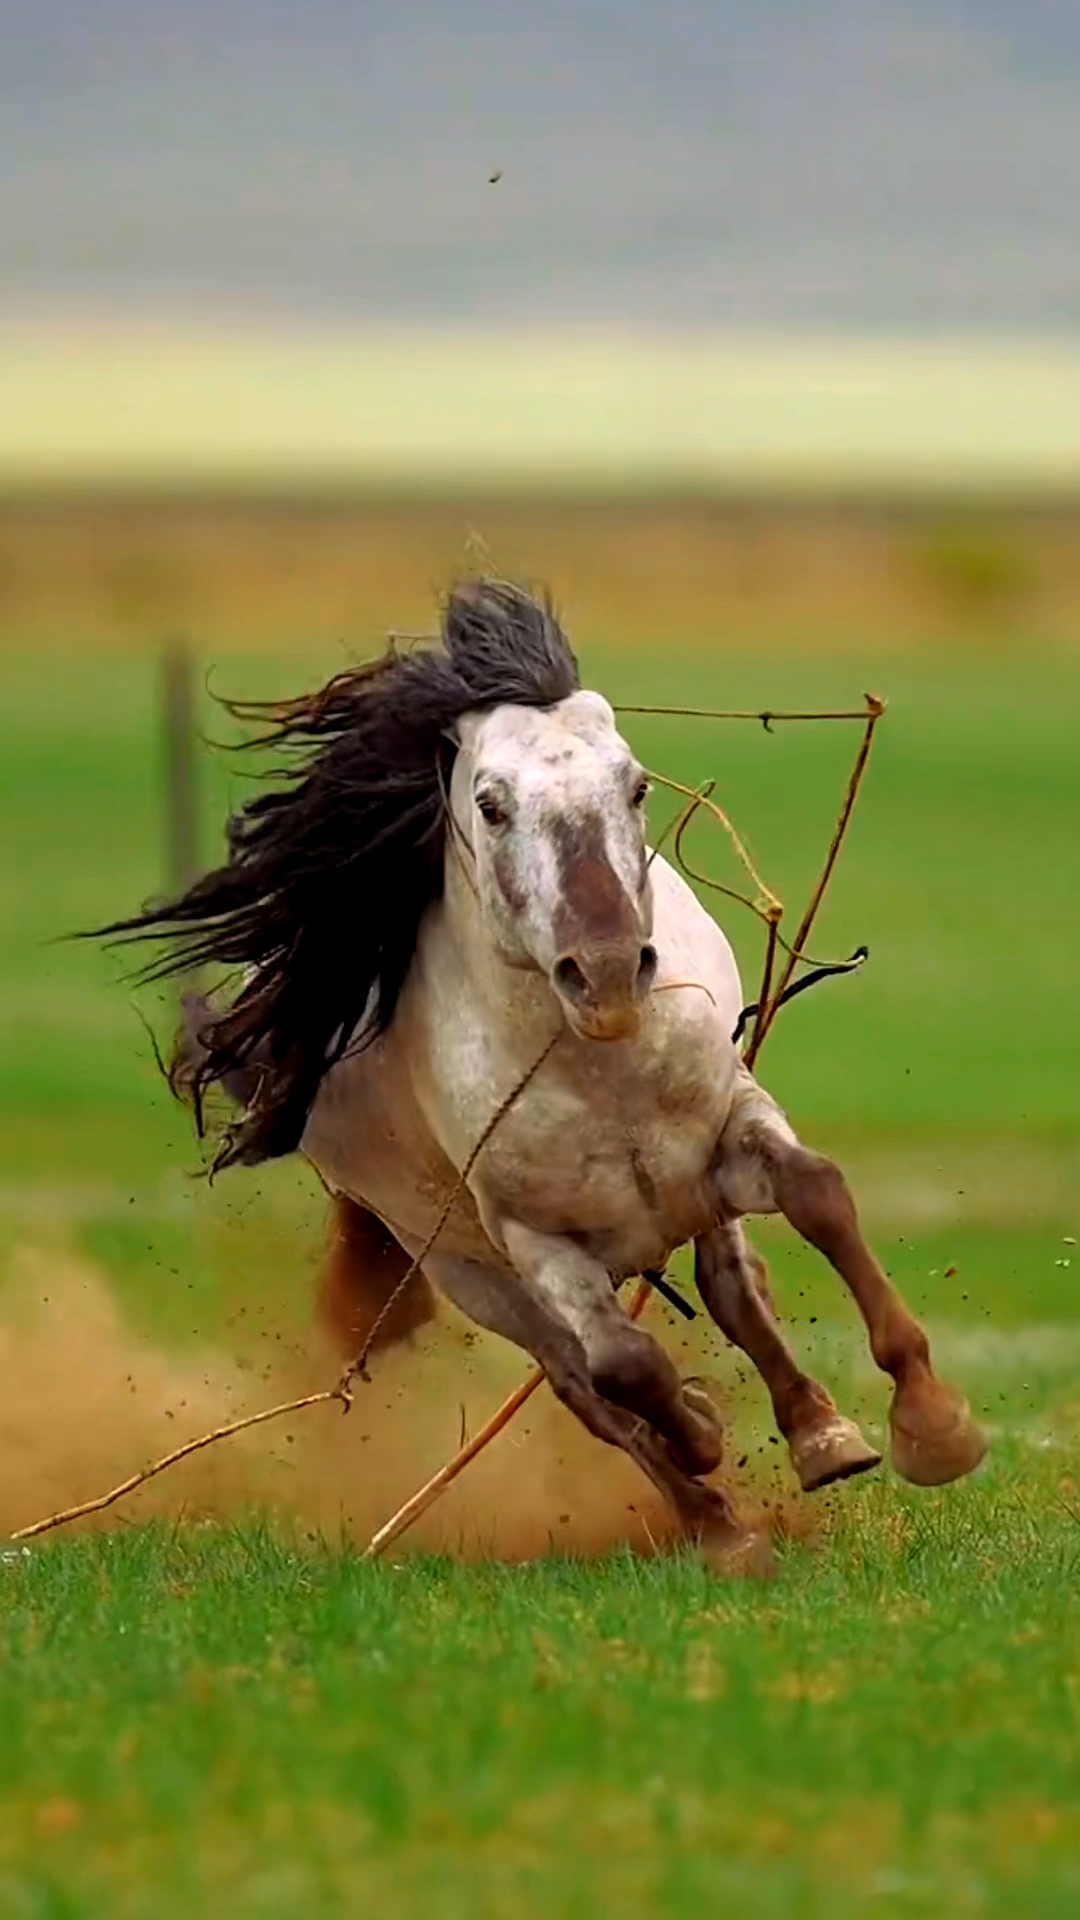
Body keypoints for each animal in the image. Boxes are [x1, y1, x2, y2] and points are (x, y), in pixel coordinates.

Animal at [102, 576, 983, 1566]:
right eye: (490, 804)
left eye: (635, 786)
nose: (605, 972)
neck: (605, 1075)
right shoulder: (530, 1240)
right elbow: (622, 1368)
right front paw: (703, 1434)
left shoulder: (731, 1127)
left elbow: (817, 1196)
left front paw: (932, 1426)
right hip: (470, 1272)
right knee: (584, 1385)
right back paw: (719, 1525)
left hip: (684, 1207)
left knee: (734, 1290)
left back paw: (818, 1434)